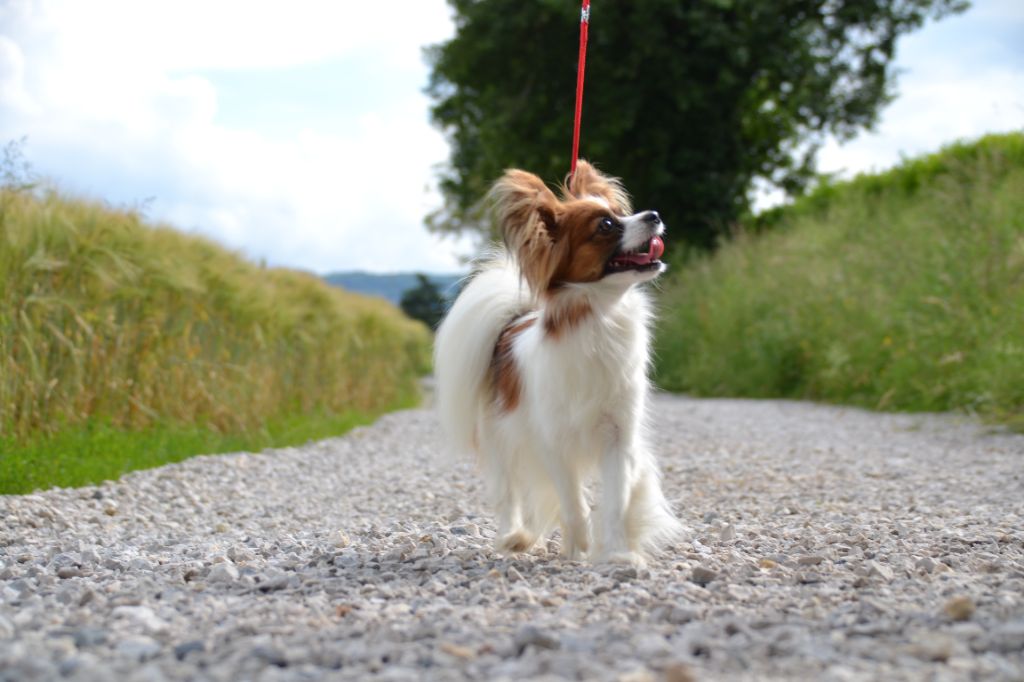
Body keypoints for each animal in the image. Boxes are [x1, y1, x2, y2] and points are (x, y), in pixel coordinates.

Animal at [432, 159, 679, 561]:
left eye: (622, 212)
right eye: (606, 225)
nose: (654, 215)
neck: (598, 316)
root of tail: (512, 322)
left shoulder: (618, 436)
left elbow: (615, 503)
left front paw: (617, 554)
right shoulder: (554, 443)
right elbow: (574, 503)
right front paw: (579, 547)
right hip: (501, 442)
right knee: (510, 495)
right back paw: (515, 536)